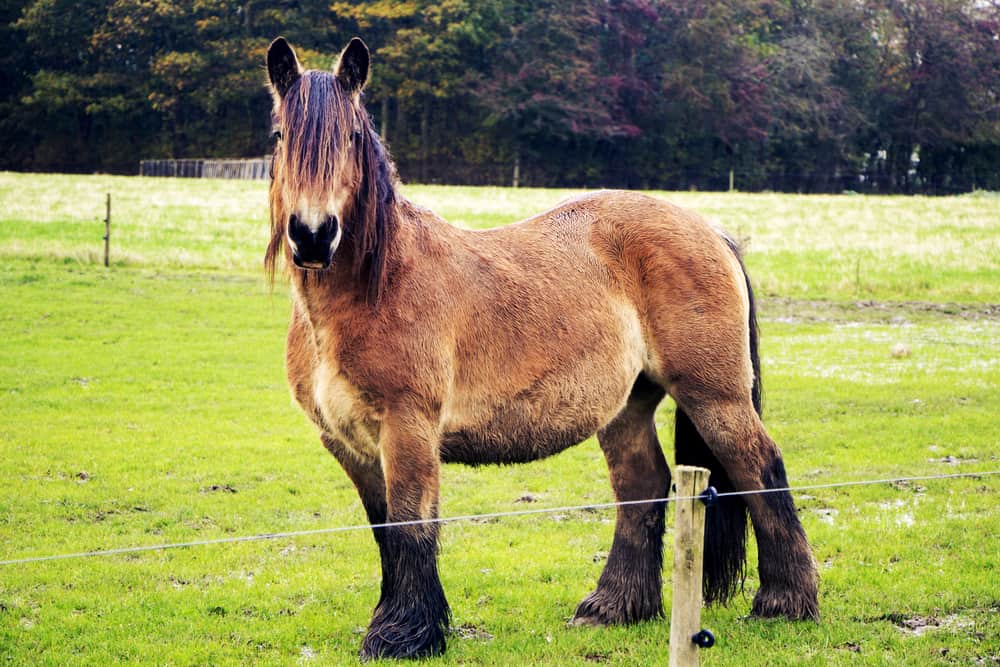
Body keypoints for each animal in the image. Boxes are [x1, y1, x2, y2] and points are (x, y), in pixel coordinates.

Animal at [264, 36, 819, 660]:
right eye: (280, 134)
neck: (375, 286)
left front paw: (405, 634)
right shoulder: (348, 443)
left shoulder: (408, 429)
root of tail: (711, 231)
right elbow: (385, 530)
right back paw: (613, 607)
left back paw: (785, 603)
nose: (313, 235)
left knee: (760, 467)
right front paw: (402, 625)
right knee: (642, 485)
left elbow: (411, 526)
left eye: (352, 137)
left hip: (715, 396)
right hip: (628, 406)